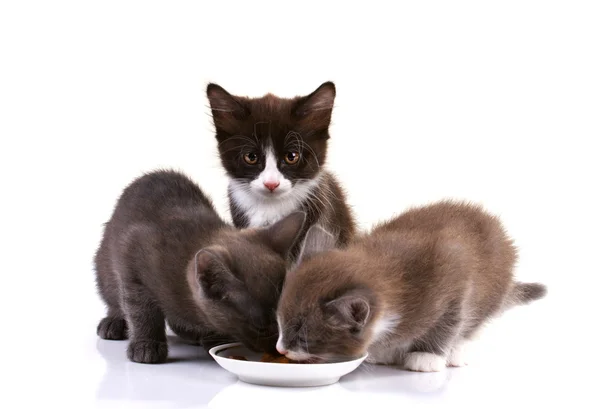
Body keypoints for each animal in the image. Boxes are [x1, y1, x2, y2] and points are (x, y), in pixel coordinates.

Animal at [96, 169, 310, 364]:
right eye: (262, 328)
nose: (278, 349)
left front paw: (214, 337)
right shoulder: (133, 261)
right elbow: (140, 309)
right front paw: (146, 345)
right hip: (104, 265)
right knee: (114, 296)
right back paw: (113, 322)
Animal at [274, 199, 548, 372]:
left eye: (302, 336)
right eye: (279, 323)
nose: (281, 349)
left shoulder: (453, 277)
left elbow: (449, 320)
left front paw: (427, 356)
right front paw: (383, 351)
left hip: (493, 286)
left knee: (474, 322)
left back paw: (456, 351)